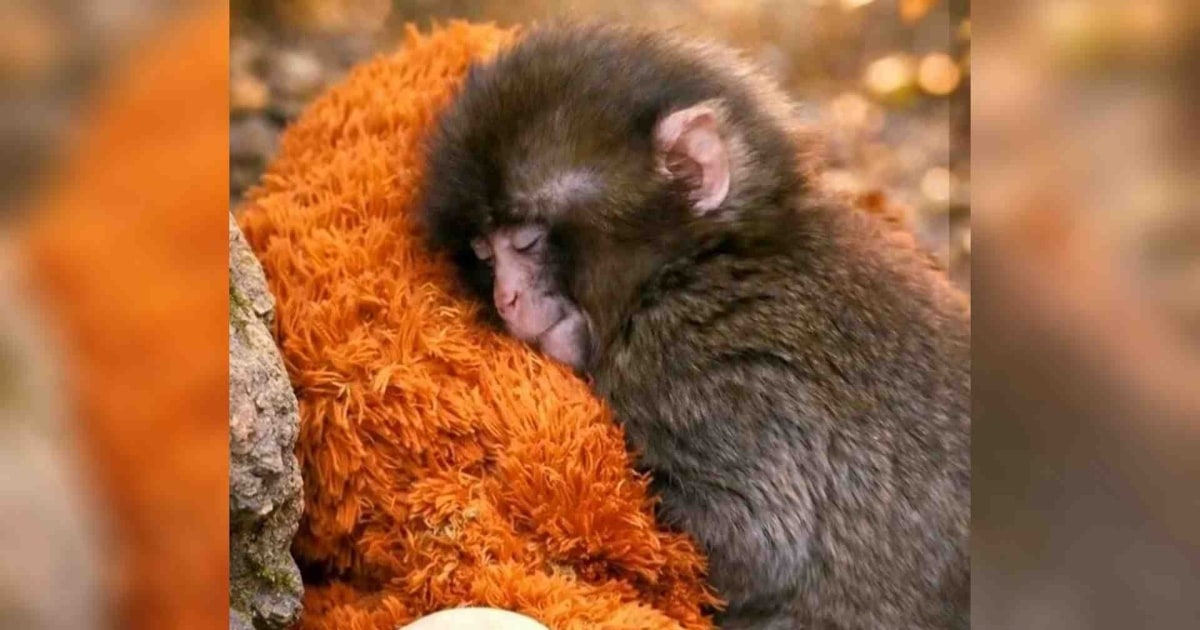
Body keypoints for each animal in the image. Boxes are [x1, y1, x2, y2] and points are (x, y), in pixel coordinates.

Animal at [421, 23, 970, 629]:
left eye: (526, 240)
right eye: (484, 252)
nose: (506, 297)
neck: (692, 263)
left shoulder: (693, 369)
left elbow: (753, 541)